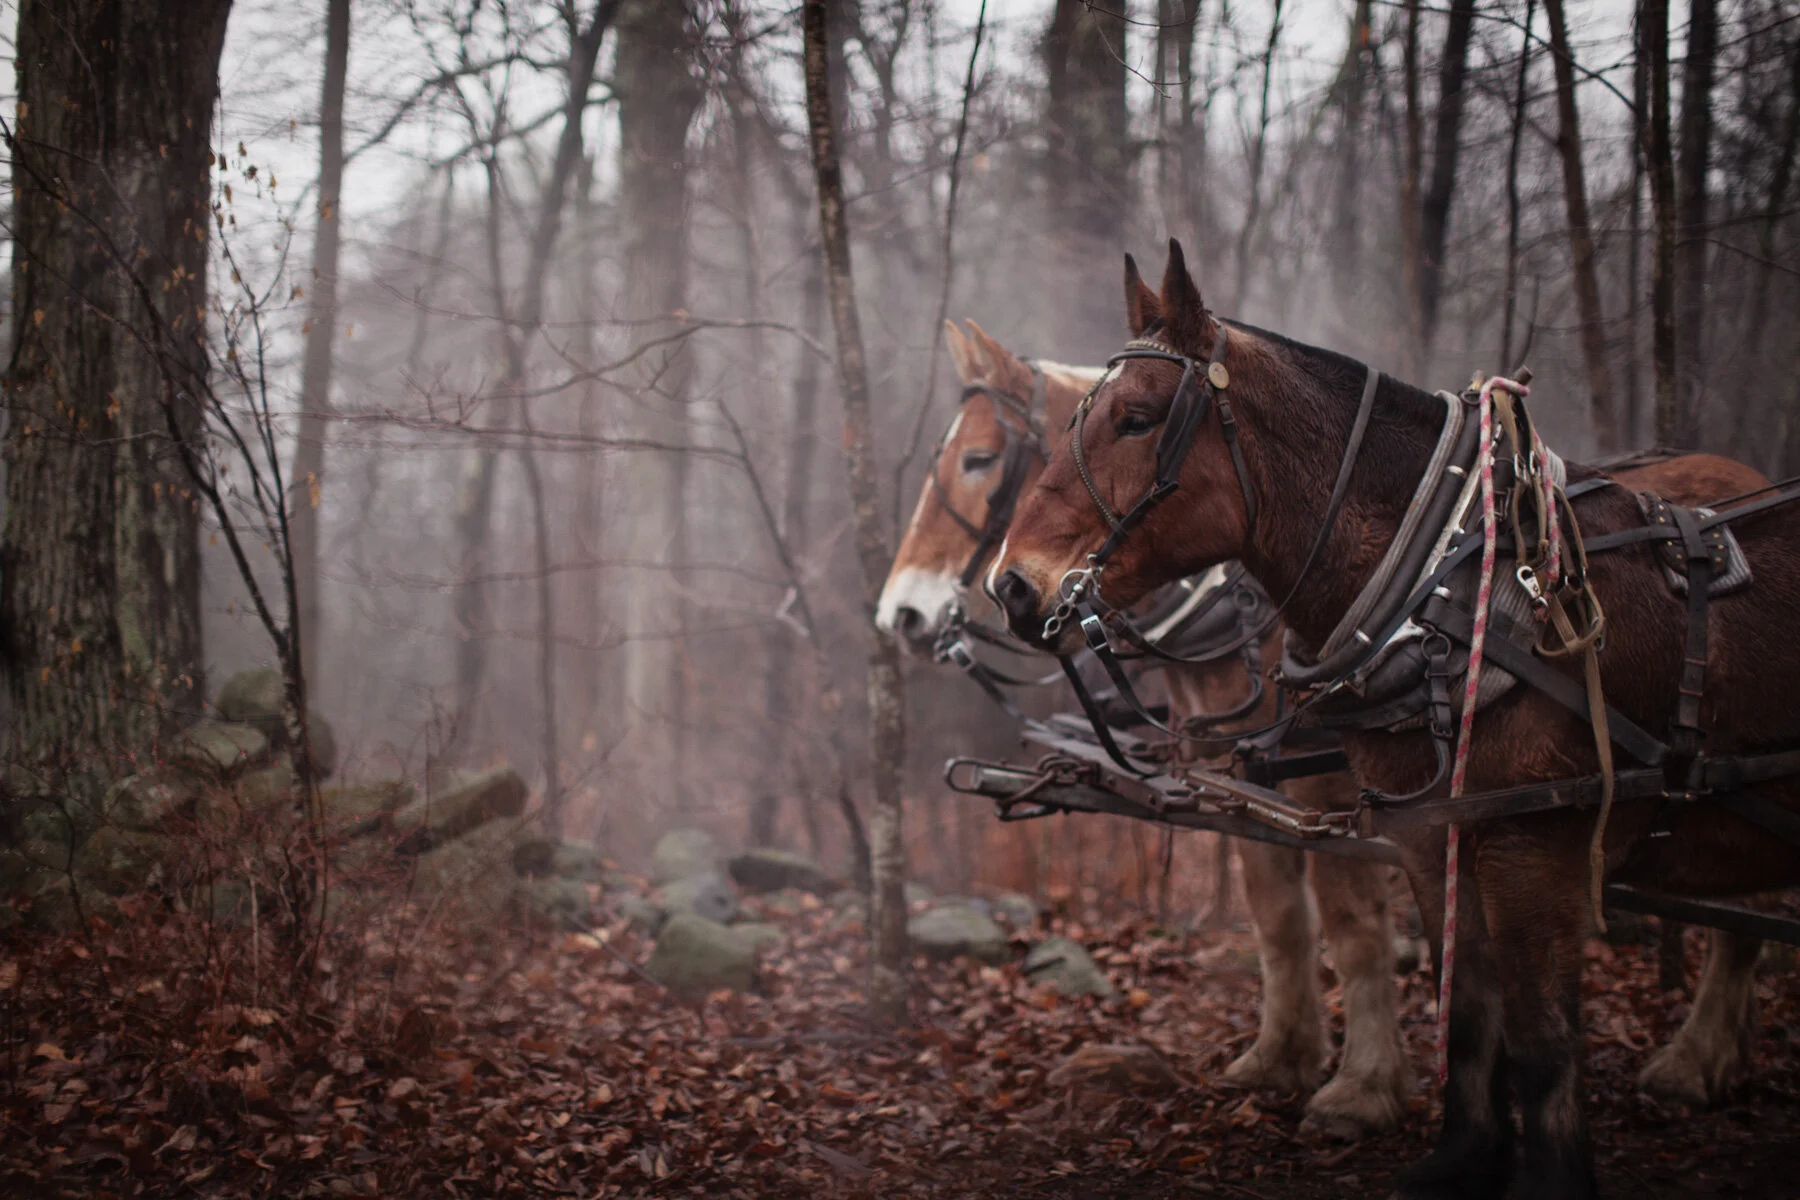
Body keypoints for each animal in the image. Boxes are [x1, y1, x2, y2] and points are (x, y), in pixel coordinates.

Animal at [985, 239, 1800, 1197]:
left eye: (1138, 418)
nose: (1013, 585)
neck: (1450, 592)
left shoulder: (1532, 846)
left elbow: (1539, 1042)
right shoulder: (1431, 837)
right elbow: (1469, 1011)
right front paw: (1463, 1158)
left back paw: (1695, 1062)